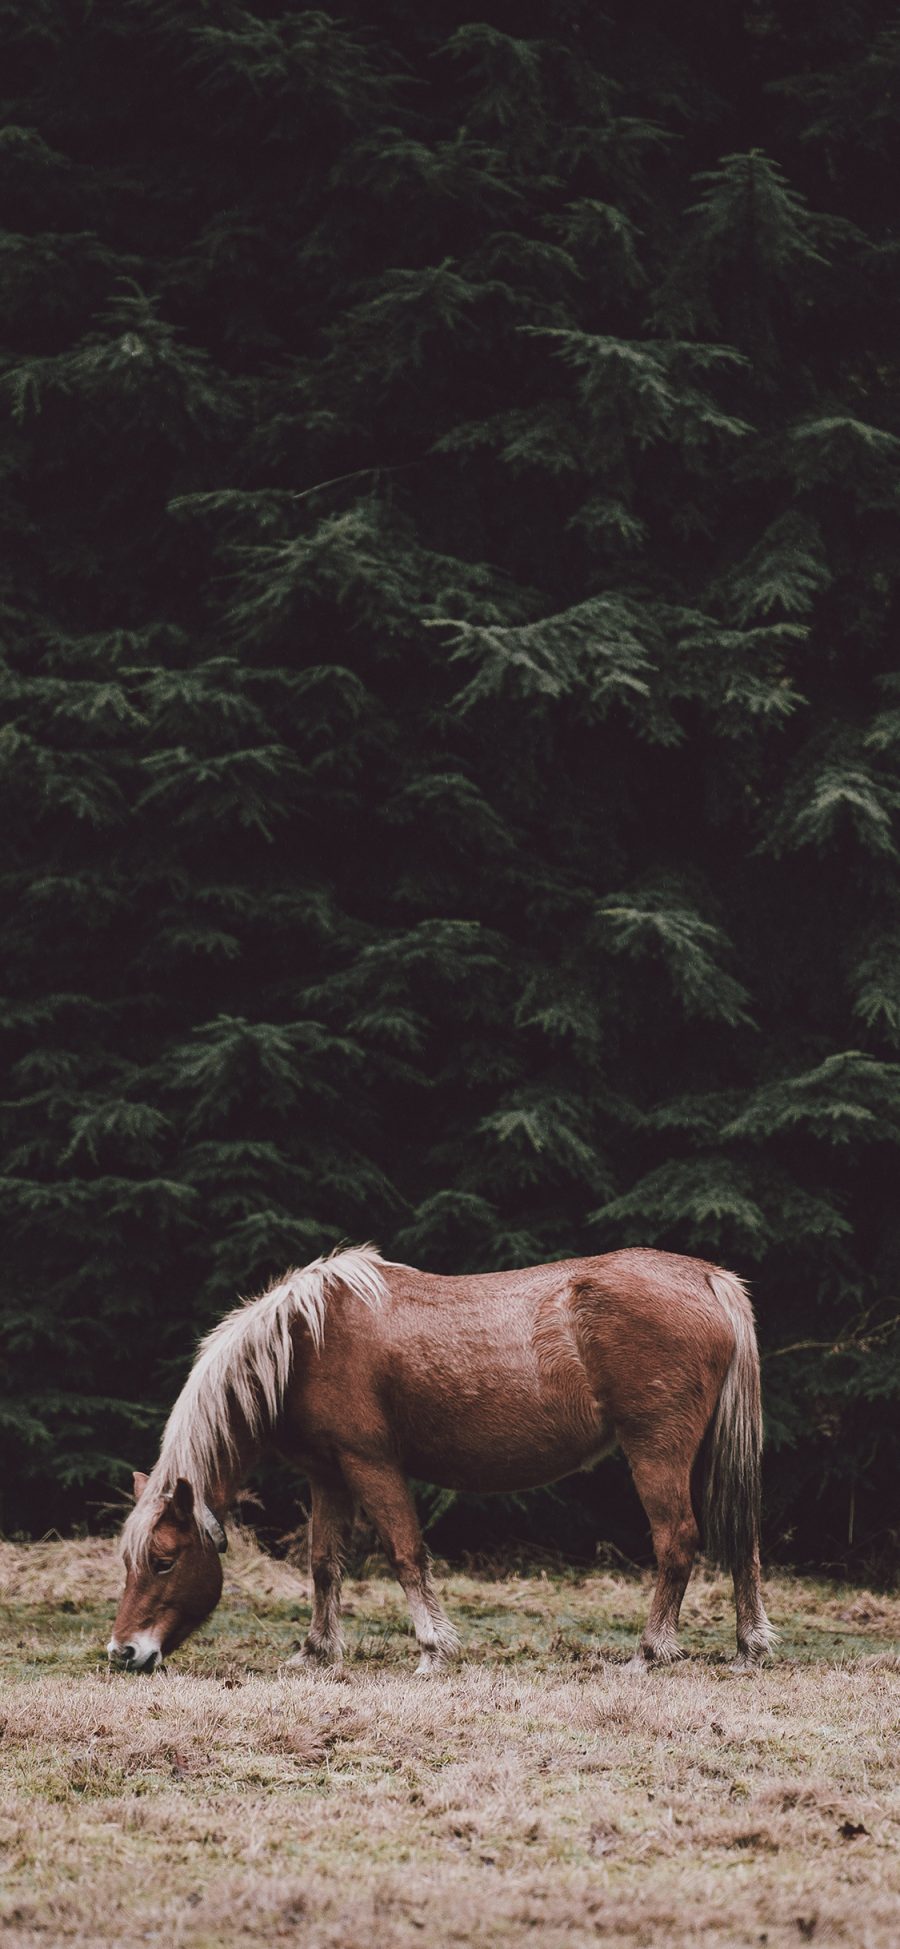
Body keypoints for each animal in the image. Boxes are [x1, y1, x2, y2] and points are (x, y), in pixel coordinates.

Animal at [109, 1247, 775, 1676]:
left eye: (164, 1561)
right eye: (129, 1561)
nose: (123, 1653)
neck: (305, 1342)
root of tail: (707, 1278)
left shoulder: (371, 1465)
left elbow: (406, 1554)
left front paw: (432, 1650)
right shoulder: (328, 1476)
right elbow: (324, 1565)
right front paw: (316, 1652)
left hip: (656, 1451)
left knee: (677, 1542)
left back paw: (647, 1653)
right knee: (742, 1541)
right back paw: (748, 1649)